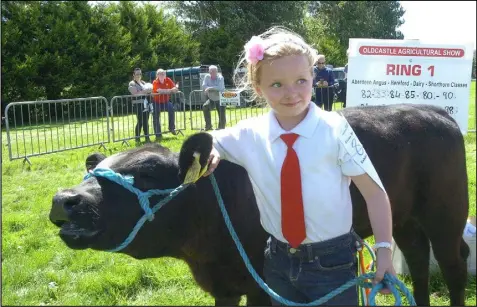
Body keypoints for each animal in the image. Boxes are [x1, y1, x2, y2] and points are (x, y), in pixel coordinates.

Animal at [49, 104, 468, 306]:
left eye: (149, 171)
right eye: (92, 169)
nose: (65, 199)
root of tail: (433, 111)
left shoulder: (260, 285)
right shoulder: (224, 285)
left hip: (446, 212)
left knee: (453, 262)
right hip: (404, 218)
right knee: (416, 257)